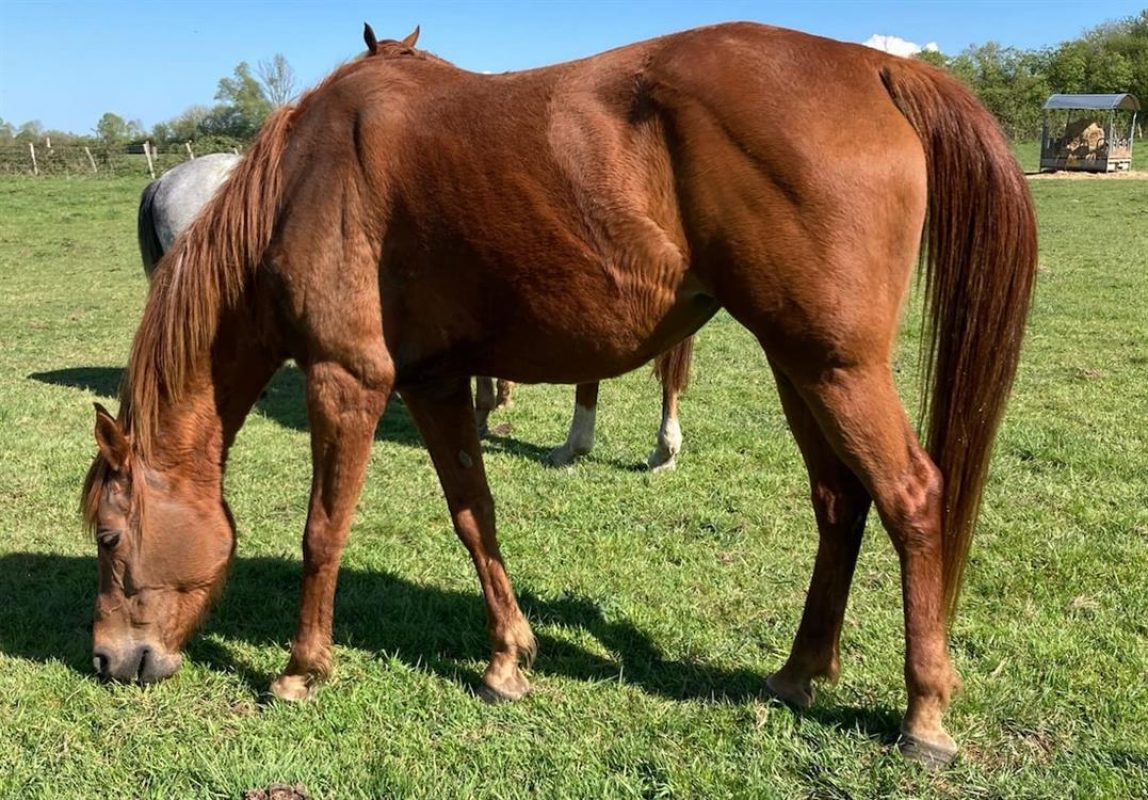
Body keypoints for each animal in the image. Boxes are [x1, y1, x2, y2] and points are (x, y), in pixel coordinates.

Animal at [82, 22, 1037, 769]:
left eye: (109, 535)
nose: (107, 660)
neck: (305, 180)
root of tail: (869, 65)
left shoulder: (347, 380)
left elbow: (324, 532)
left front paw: (300, 670)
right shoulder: (434, 383)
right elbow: (474, 514)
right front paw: (509, 659)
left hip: (836, 368)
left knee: (911, 497)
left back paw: (924, 716)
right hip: (798, 363)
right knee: (840, 501)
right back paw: (799, 673)